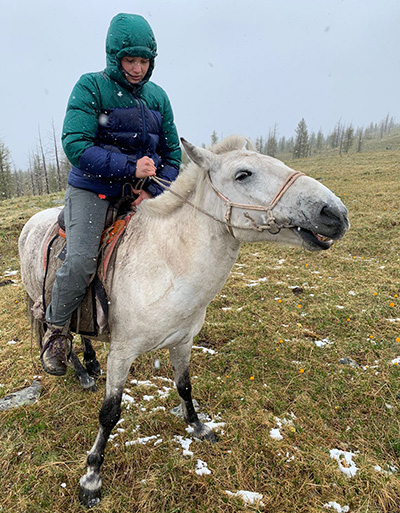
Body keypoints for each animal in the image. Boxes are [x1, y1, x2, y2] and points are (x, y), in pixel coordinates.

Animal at [18, 134, 348, 506]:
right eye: (243, 174)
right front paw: (91, 478)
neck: (165, 263)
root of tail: (32, 221)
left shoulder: (183, 341)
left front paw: (199, 427)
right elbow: (110, 413)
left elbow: (184, 386)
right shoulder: (122, 353)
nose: (335, 213)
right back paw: (77, 370)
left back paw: (89, 365)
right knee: (59, 330)